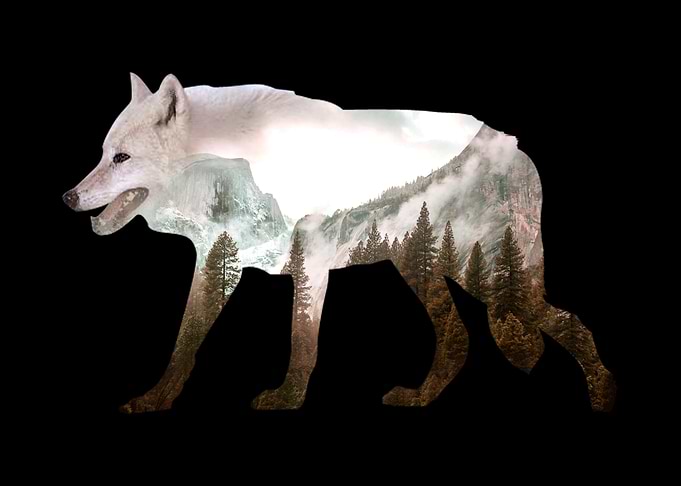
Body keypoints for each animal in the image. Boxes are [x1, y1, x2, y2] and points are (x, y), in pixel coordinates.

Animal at [64, 74, 614, 412]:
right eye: (103, 153)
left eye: (121, 158)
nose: (69, 197)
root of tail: (515, 146)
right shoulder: (221, 262)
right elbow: (185, 340)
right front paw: (156, 399)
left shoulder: (313, 256)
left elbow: (302, 341)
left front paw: (287, 398)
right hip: (426, 266)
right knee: (459, 339)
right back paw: (419, 398)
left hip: (492, 277)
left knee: (571, 324)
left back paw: (605, 396)